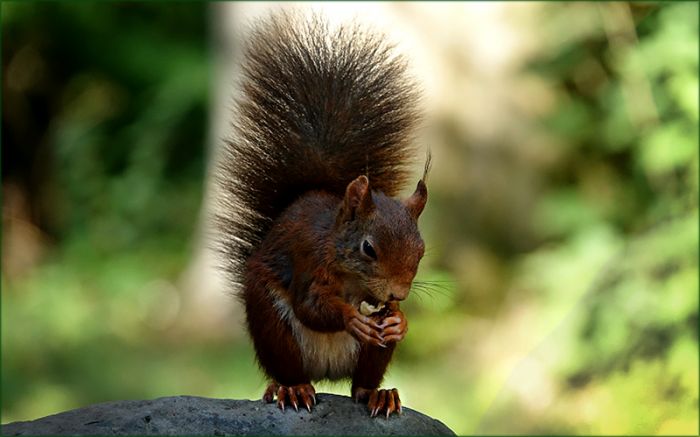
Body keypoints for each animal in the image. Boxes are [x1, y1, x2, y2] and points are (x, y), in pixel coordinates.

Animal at [216, 11, 428, 418]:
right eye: (368, 248)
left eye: (422, 251)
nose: (399, 293)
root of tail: (325, 372)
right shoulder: (309, 262)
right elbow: (310, 307)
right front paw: (351, 318)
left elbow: (389, 315)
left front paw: (400, 320)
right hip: (272, 325)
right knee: (287, 368)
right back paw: (291, 389)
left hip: (371, 357)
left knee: (362, 385)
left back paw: (378, 394)